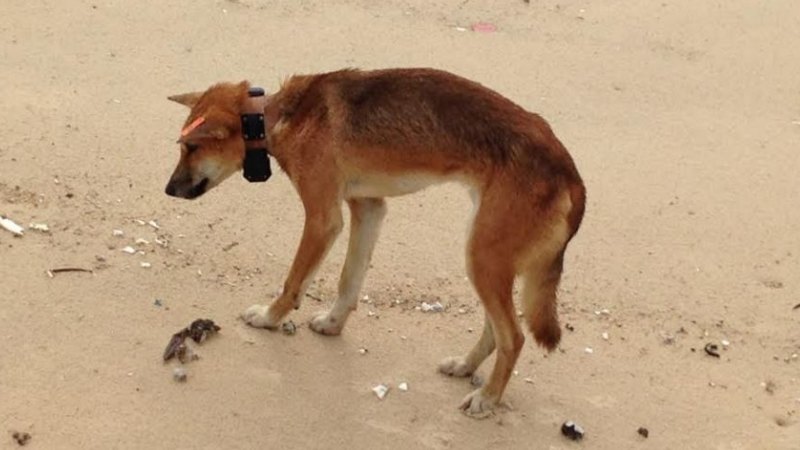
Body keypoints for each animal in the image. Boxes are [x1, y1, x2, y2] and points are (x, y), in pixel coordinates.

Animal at [166, 67, 584, 414]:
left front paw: (269, 318)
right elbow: (348, 282)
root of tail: (569, 169)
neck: (278, 116)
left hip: (483, 257)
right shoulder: (368, 209)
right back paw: (465, 367)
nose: (168, 190)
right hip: (486, 257)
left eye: (192, 148)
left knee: (513, 336)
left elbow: (293, 282)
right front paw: (333, 324)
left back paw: (488, 397)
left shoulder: (323, 220)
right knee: (496, 330)